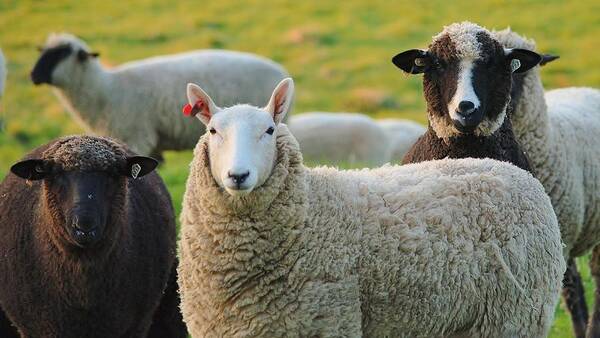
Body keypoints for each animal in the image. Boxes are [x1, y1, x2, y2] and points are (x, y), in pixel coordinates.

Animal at [30, 33, 288, 161]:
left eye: (61, 54)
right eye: (44, 51)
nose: (33, 75)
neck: (105, 90)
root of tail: (281, 70)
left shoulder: (137, 139)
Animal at [178, 77, 568, 338]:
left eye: (270, 130)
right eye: (212, 131)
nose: (238, 175)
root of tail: (520, 176)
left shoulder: (329, 318)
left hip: (513, 315)